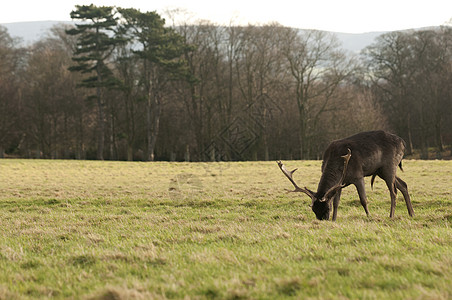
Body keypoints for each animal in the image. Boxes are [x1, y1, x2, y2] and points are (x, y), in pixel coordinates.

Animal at [276, 131, 414, 220]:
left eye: (326, 208)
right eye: (314, 210)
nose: (323, 220)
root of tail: (403, 142)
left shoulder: (358, 175)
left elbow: (363, 199)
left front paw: (369, 216)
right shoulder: (340, 183)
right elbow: (336, 202)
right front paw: (334, 219)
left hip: (389, 166)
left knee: (393, 191)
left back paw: (391, 216)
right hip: (381, 171)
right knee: (403, 185)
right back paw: (411, 213)